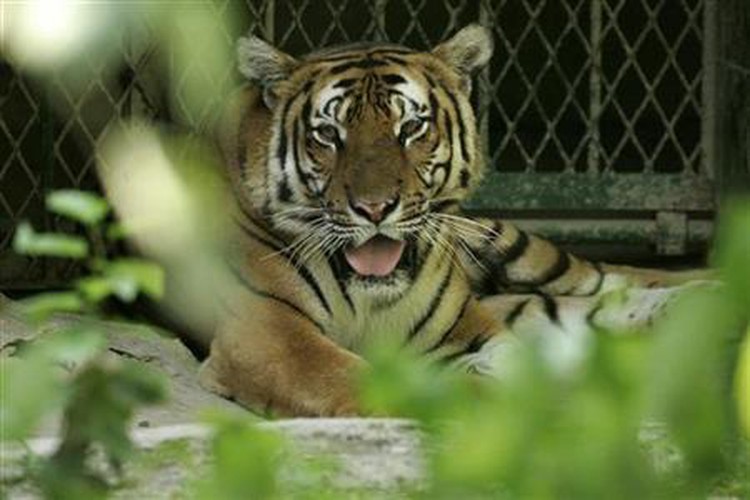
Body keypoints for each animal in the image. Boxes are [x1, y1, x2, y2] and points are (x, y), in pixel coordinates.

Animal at [198, 24, 706, 417]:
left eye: (411, 128)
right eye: (327, 134)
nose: (375, 208)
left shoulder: (463, 328)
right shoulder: (268, 334)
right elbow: (360, 378)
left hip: (509, 243)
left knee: (611, 277)